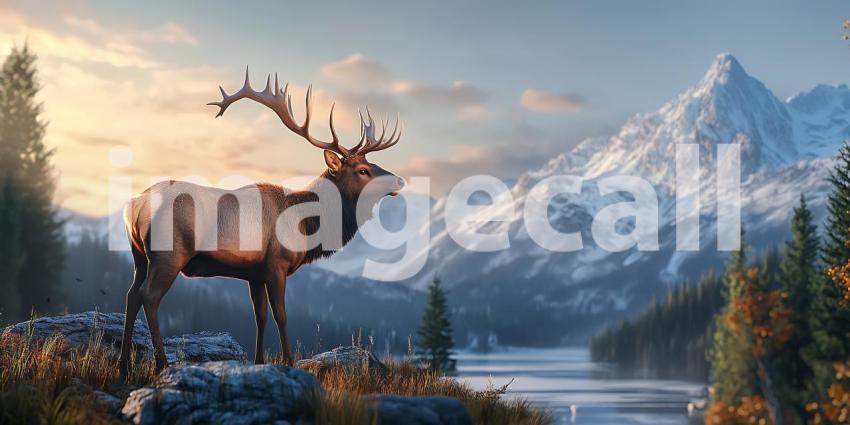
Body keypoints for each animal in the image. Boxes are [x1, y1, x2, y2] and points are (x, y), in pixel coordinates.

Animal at [117, 70, 405, 378]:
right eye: (363, 170)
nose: (400, 180)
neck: (307, 226)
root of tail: (135, 204)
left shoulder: (253, 273)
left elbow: (261, 316)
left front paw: (258, 361)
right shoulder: (276, 263)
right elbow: (281, 315)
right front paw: (289, 362)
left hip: (139, 255)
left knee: (131, 295)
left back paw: (123, 367)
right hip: (169, 254)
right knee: (149, 296)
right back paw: (161, 363)